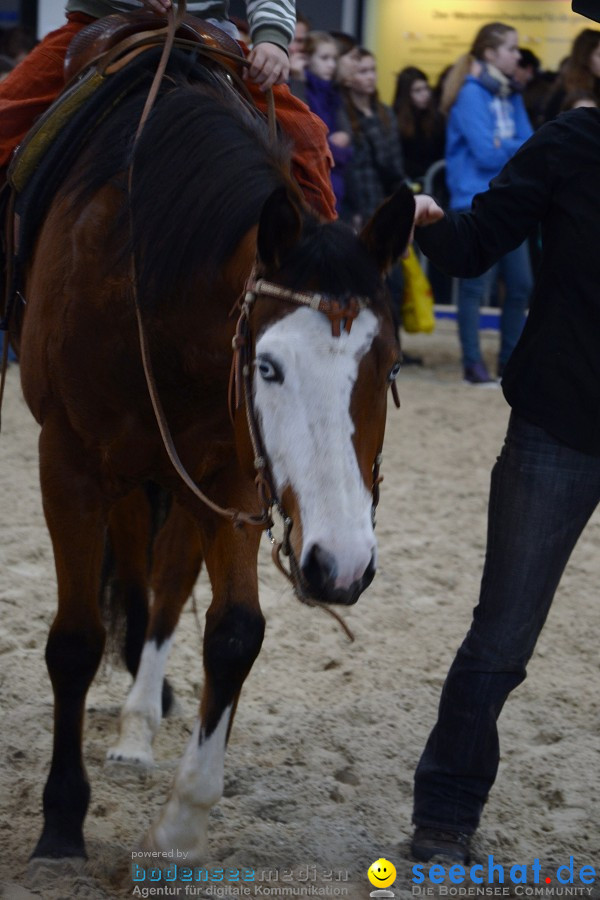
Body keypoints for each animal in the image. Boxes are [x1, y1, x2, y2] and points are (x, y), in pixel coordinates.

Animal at [15, 49, 418, 864]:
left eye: (389, 364)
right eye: (268, 366)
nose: (343, 565)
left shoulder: (230, 476)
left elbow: (234, 633)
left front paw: (181, 823)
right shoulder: (68, 463)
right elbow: (74, 640)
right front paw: (62, 820)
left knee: (165, 587)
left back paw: (142, 718)